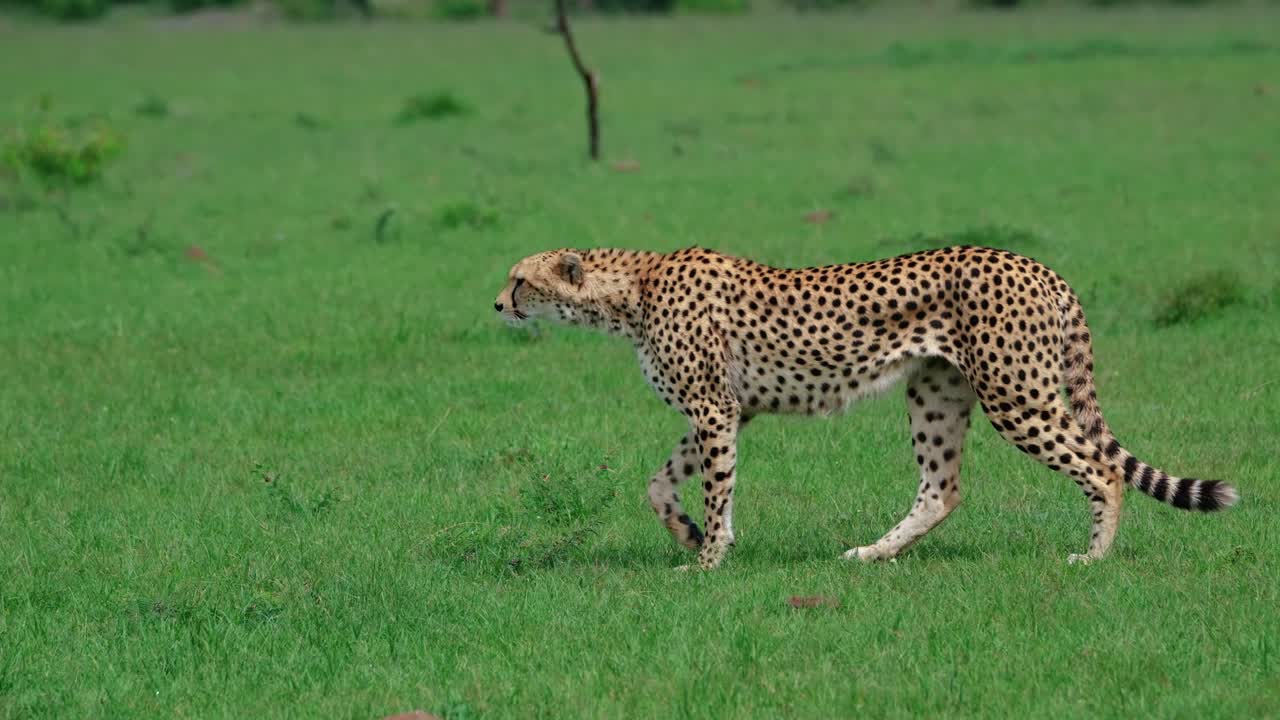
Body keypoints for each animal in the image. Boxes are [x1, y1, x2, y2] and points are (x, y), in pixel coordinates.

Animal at [493, 245, 1239, 570]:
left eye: (520, 280)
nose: (497, 305)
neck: (631, 289)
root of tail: (1038, 266)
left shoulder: (712, 409)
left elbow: (713, 486)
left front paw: (704, 563)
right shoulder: (731, 410)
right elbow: (661, 484)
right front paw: (694, 535)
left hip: (1015, 393)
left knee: (1102, 469)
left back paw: (1093, 557)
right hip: (937, 393)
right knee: (942, 489)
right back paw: (875, 553)